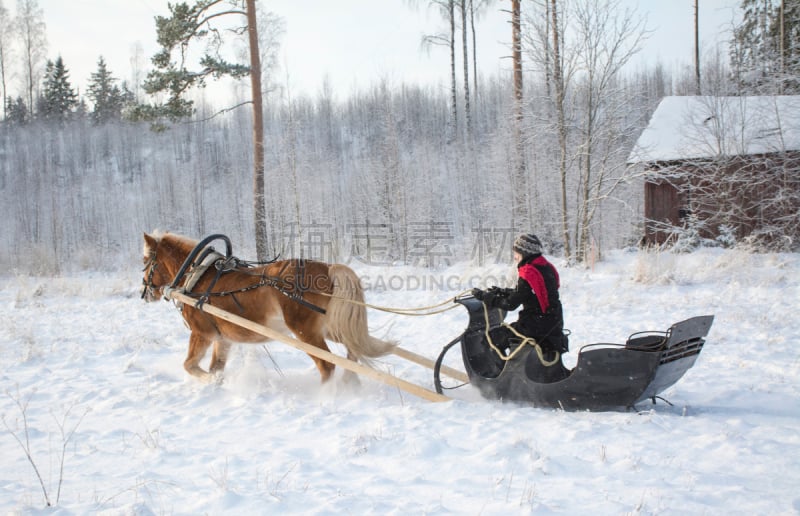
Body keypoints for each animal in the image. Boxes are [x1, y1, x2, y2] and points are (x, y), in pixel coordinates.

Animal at [143, 231, 396, 382]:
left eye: (145, 261)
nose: (144, 292)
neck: (198, 276)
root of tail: (328, 267)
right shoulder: (222, 339)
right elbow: (216, 366)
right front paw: (218, 382)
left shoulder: (201, 333)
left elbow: (190, 365)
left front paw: (211, 381)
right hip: (330, 326)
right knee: (351, 352)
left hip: (306, 332)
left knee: (327, 365)